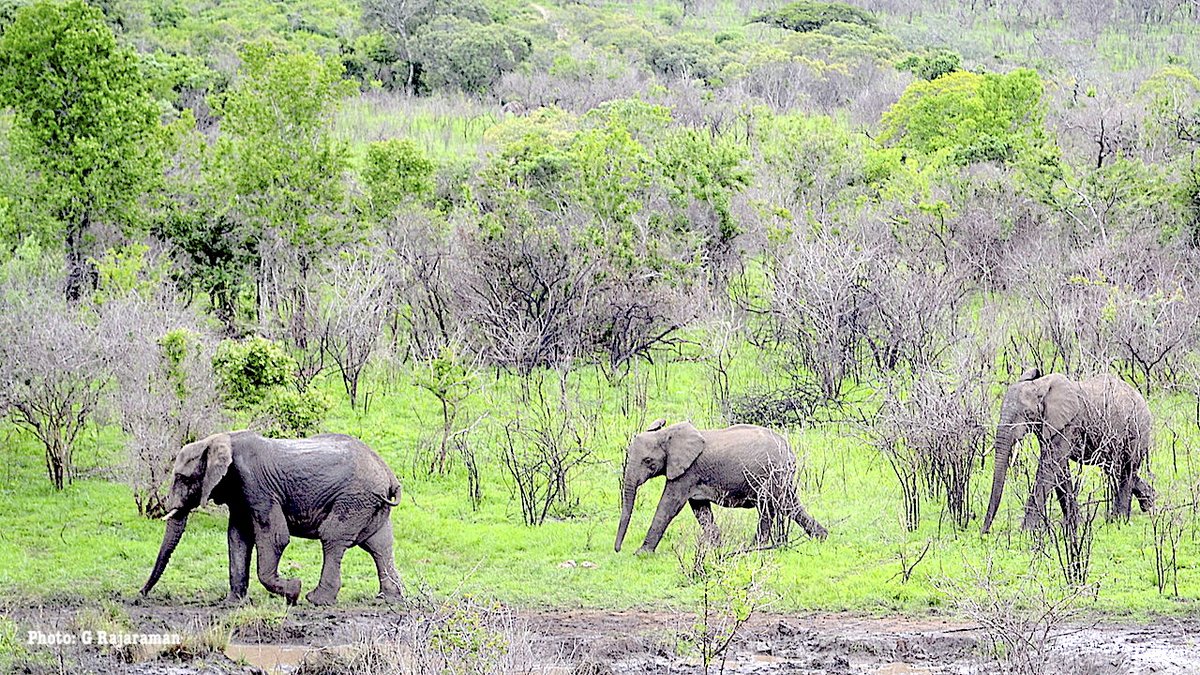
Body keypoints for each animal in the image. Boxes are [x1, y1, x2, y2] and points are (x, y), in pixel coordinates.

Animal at [140, 431, 404, 606]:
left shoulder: (257, 486)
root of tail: (389, 474)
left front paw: (294, 591)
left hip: (353, 499)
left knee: (332, 538)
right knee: (380, 546)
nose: (139, 595)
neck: (219, 440)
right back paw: (389, 599)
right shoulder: (240, 493)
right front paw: (233, 603)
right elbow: (238, 538)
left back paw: (316, 600)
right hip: (370, 504)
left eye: (182, 478)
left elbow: (276, 537)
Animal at [614, 419, 827, 554]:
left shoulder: (687, 471)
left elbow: (669, 506)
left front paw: (641, 553)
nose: (617, 550)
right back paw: (821, 537)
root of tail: (790, 450)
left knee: (775, 505)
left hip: (772, 474)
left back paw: (753, 548)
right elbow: (700, 509)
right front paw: (716, 547)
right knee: (785, 505)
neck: (666, 434)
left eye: (648, 461)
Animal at [981, 368, 1155, 534]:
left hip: (1137, 430)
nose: (985, 532)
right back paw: (1149, 501)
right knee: (1115, 469)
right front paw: (1075, 523)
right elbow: (1059, 468)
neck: (1040, 386)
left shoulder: (1068, 424)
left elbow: (1050, 465)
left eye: (1026, 414)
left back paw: (1118, 520)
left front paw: (1026, 530)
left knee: (1127, 468)